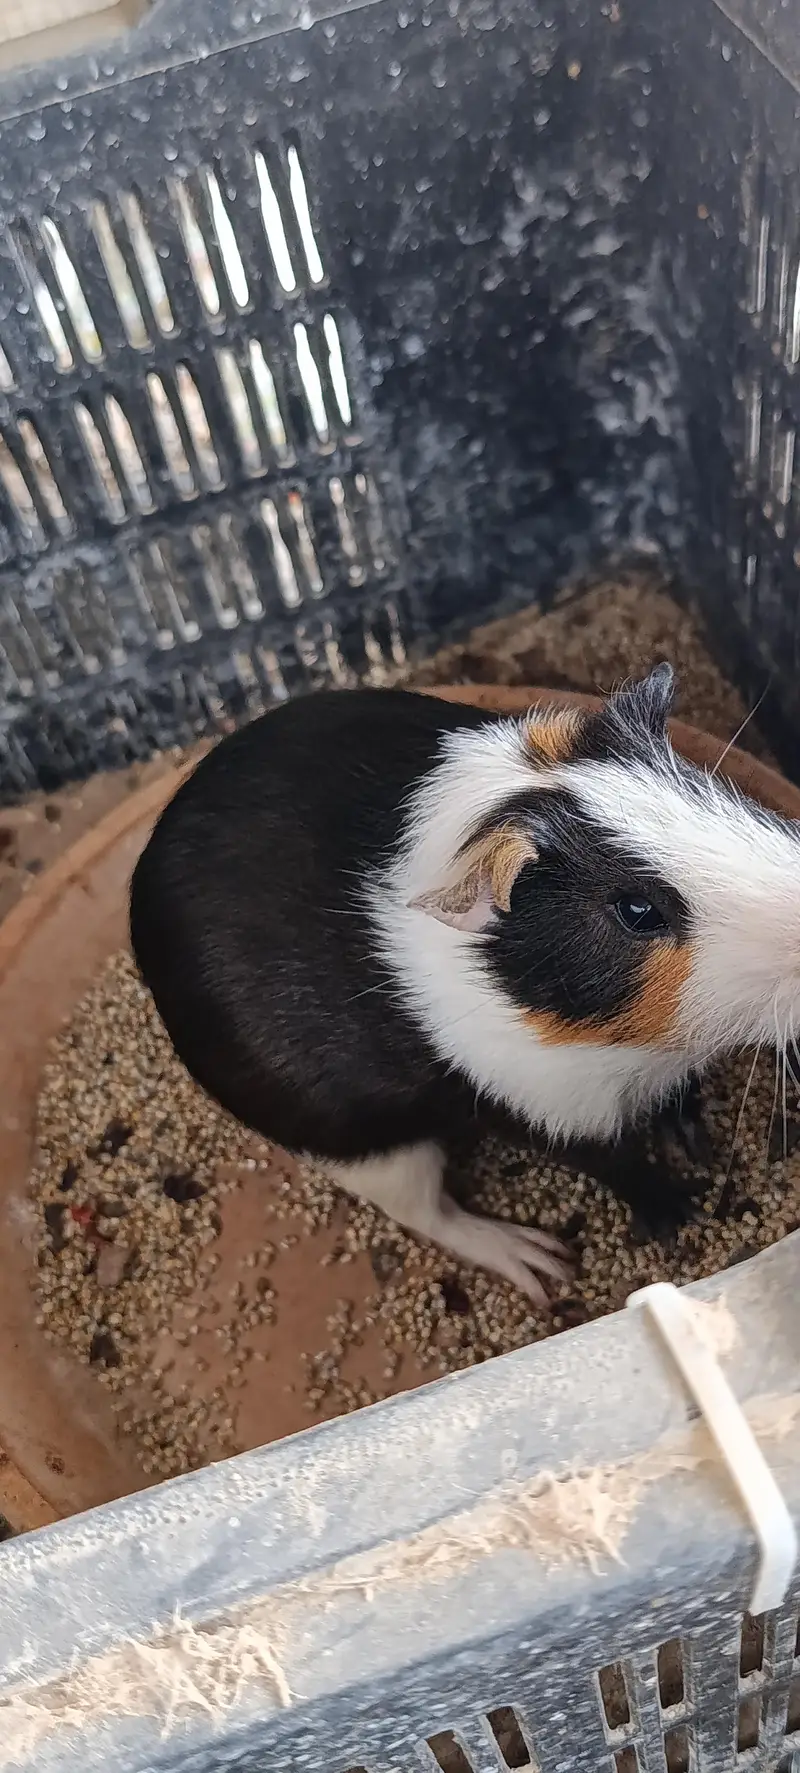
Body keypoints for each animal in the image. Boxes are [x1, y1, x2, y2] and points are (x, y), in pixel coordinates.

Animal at [130, 665, 797, 1303]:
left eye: (725, 801)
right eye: (637, 910)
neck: (625, 1044)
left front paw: (695, 1143)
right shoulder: (544, 1104)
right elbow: (617, 1165)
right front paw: (680, 1211)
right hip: (376, 1155)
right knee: (433, 1215)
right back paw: (537, 1262)